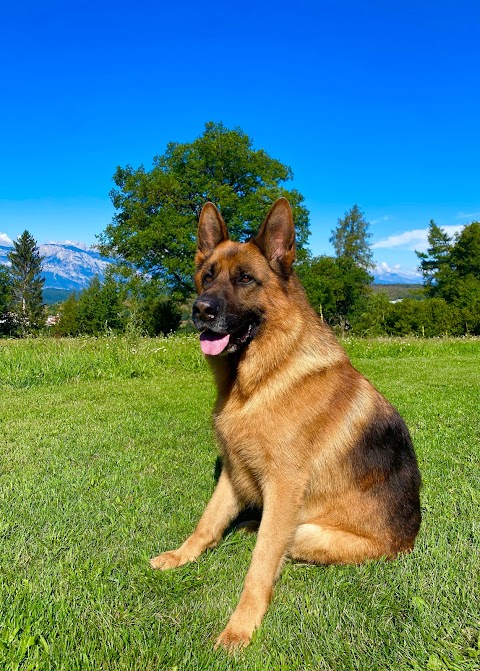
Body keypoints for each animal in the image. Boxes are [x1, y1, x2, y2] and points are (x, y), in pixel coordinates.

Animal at [150, 198, 420, 652]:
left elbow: (260, 564)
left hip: (306, 530)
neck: (261, 380)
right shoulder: (235, 469)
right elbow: (207, 522)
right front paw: (181, 556)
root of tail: (410, 539)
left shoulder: (283, 484)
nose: (201, 310)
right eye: (208, 276)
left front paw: (240, 627)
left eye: (246, 279)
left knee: (280, 542)